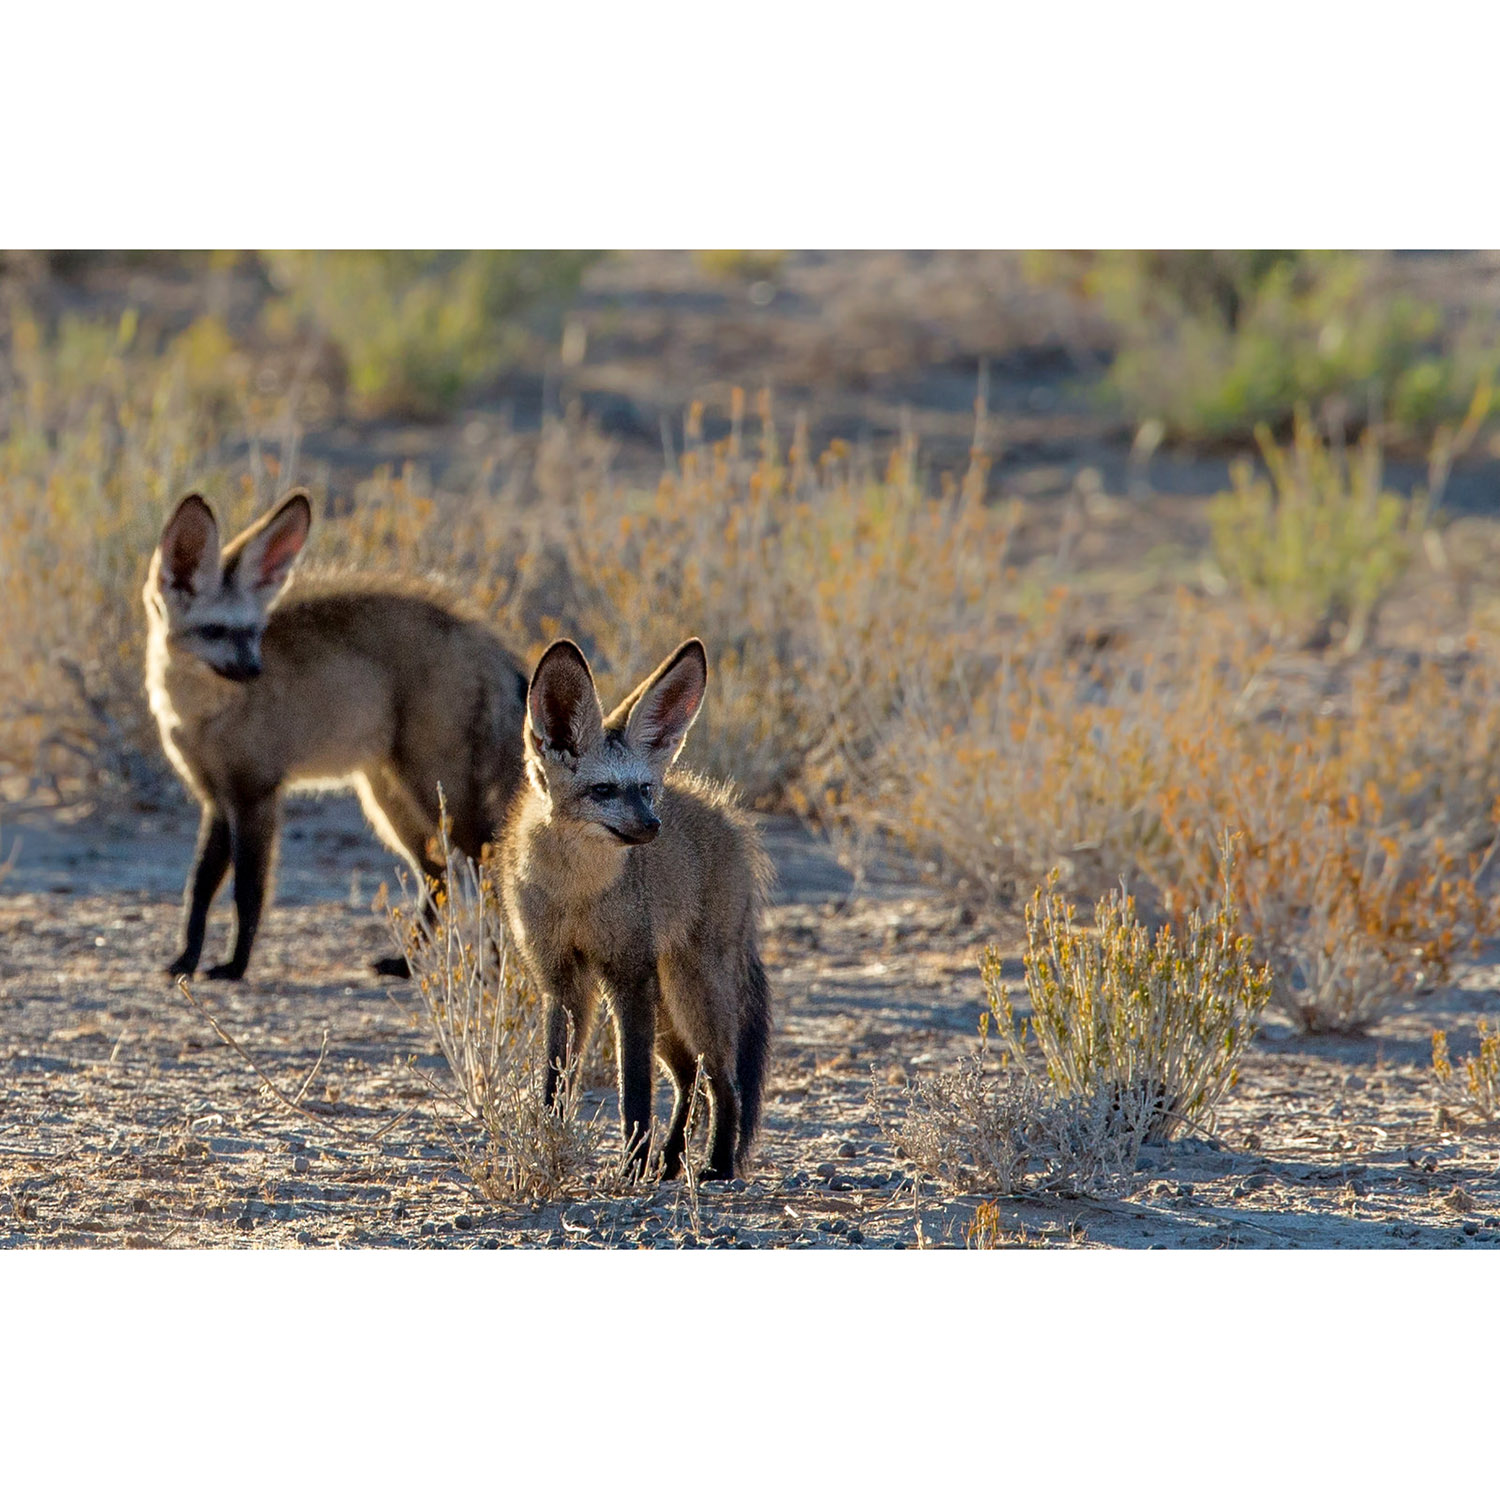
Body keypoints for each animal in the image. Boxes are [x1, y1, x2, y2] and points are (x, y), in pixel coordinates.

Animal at [504, 639, 774, 1176]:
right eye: (603, 790)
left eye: (645, 789)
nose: (652, 826)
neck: (577, 895)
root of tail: (730, 818)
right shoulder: (562, 981)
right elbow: (555, 1080)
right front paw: (548, 1144)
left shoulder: (628, 975)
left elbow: (634, 1089)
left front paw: (630, 1166)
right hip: (669, 1002)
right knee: (690, 1077)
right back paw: (670, 1161)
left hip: (691, 992)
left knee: (723, 1080)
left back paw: (717, 1165)